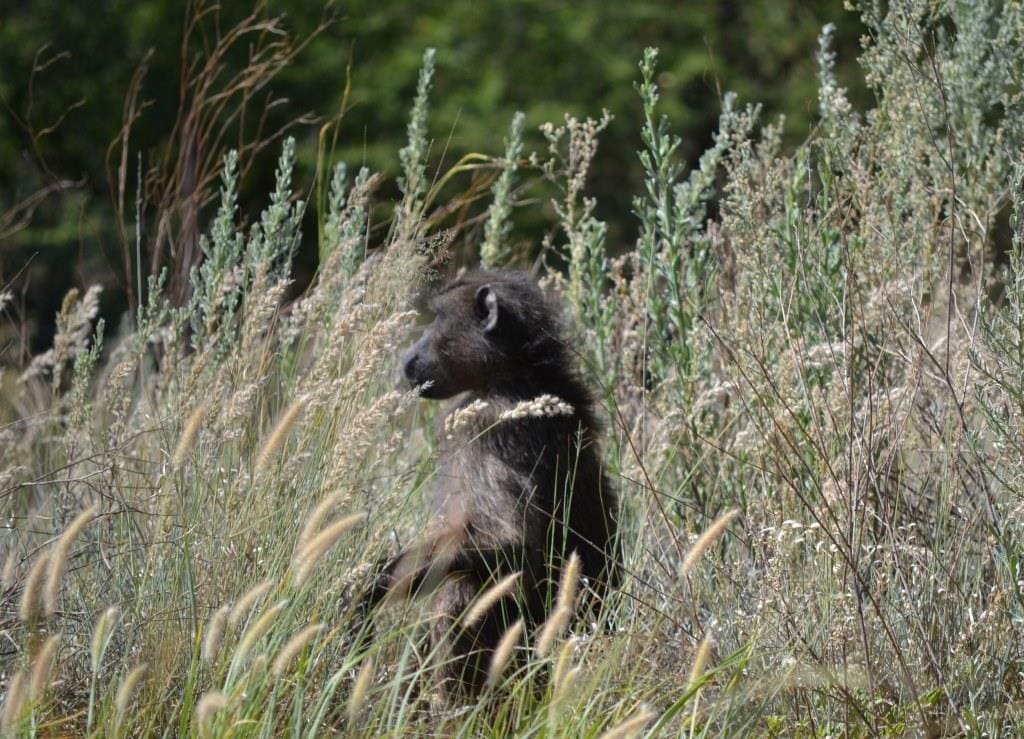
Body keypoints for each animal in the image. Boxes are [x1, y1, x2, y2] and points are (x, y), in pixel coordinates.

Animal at [362, 269, 620, 697]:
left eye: (437, 318)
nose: (408, 358)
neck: (513, 372)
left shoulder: (487, 427)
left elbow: (513, 542)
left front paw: (372, 585)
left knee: (461, 589)